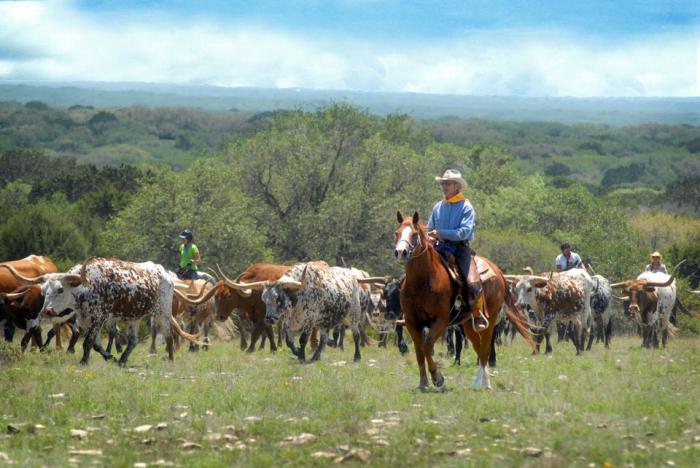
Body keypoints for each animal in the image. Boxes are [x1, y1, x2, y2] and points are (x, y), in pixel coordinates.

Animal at [394, 212, 536, 392]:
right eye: (396, 233)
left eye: (413, 234)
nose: (401, 252)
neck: (423, 281)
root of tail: (497, 271)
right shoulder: (412, 323)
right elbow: (420, 352)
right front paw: (423, 383)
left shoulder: (440, 321)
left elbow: (427, 346)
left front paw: (437, 377)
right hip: (469, 324)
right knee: (478, 347)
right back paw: (479, 382)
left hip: (489, 322)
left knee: (485, 349)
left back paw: (484, 383)